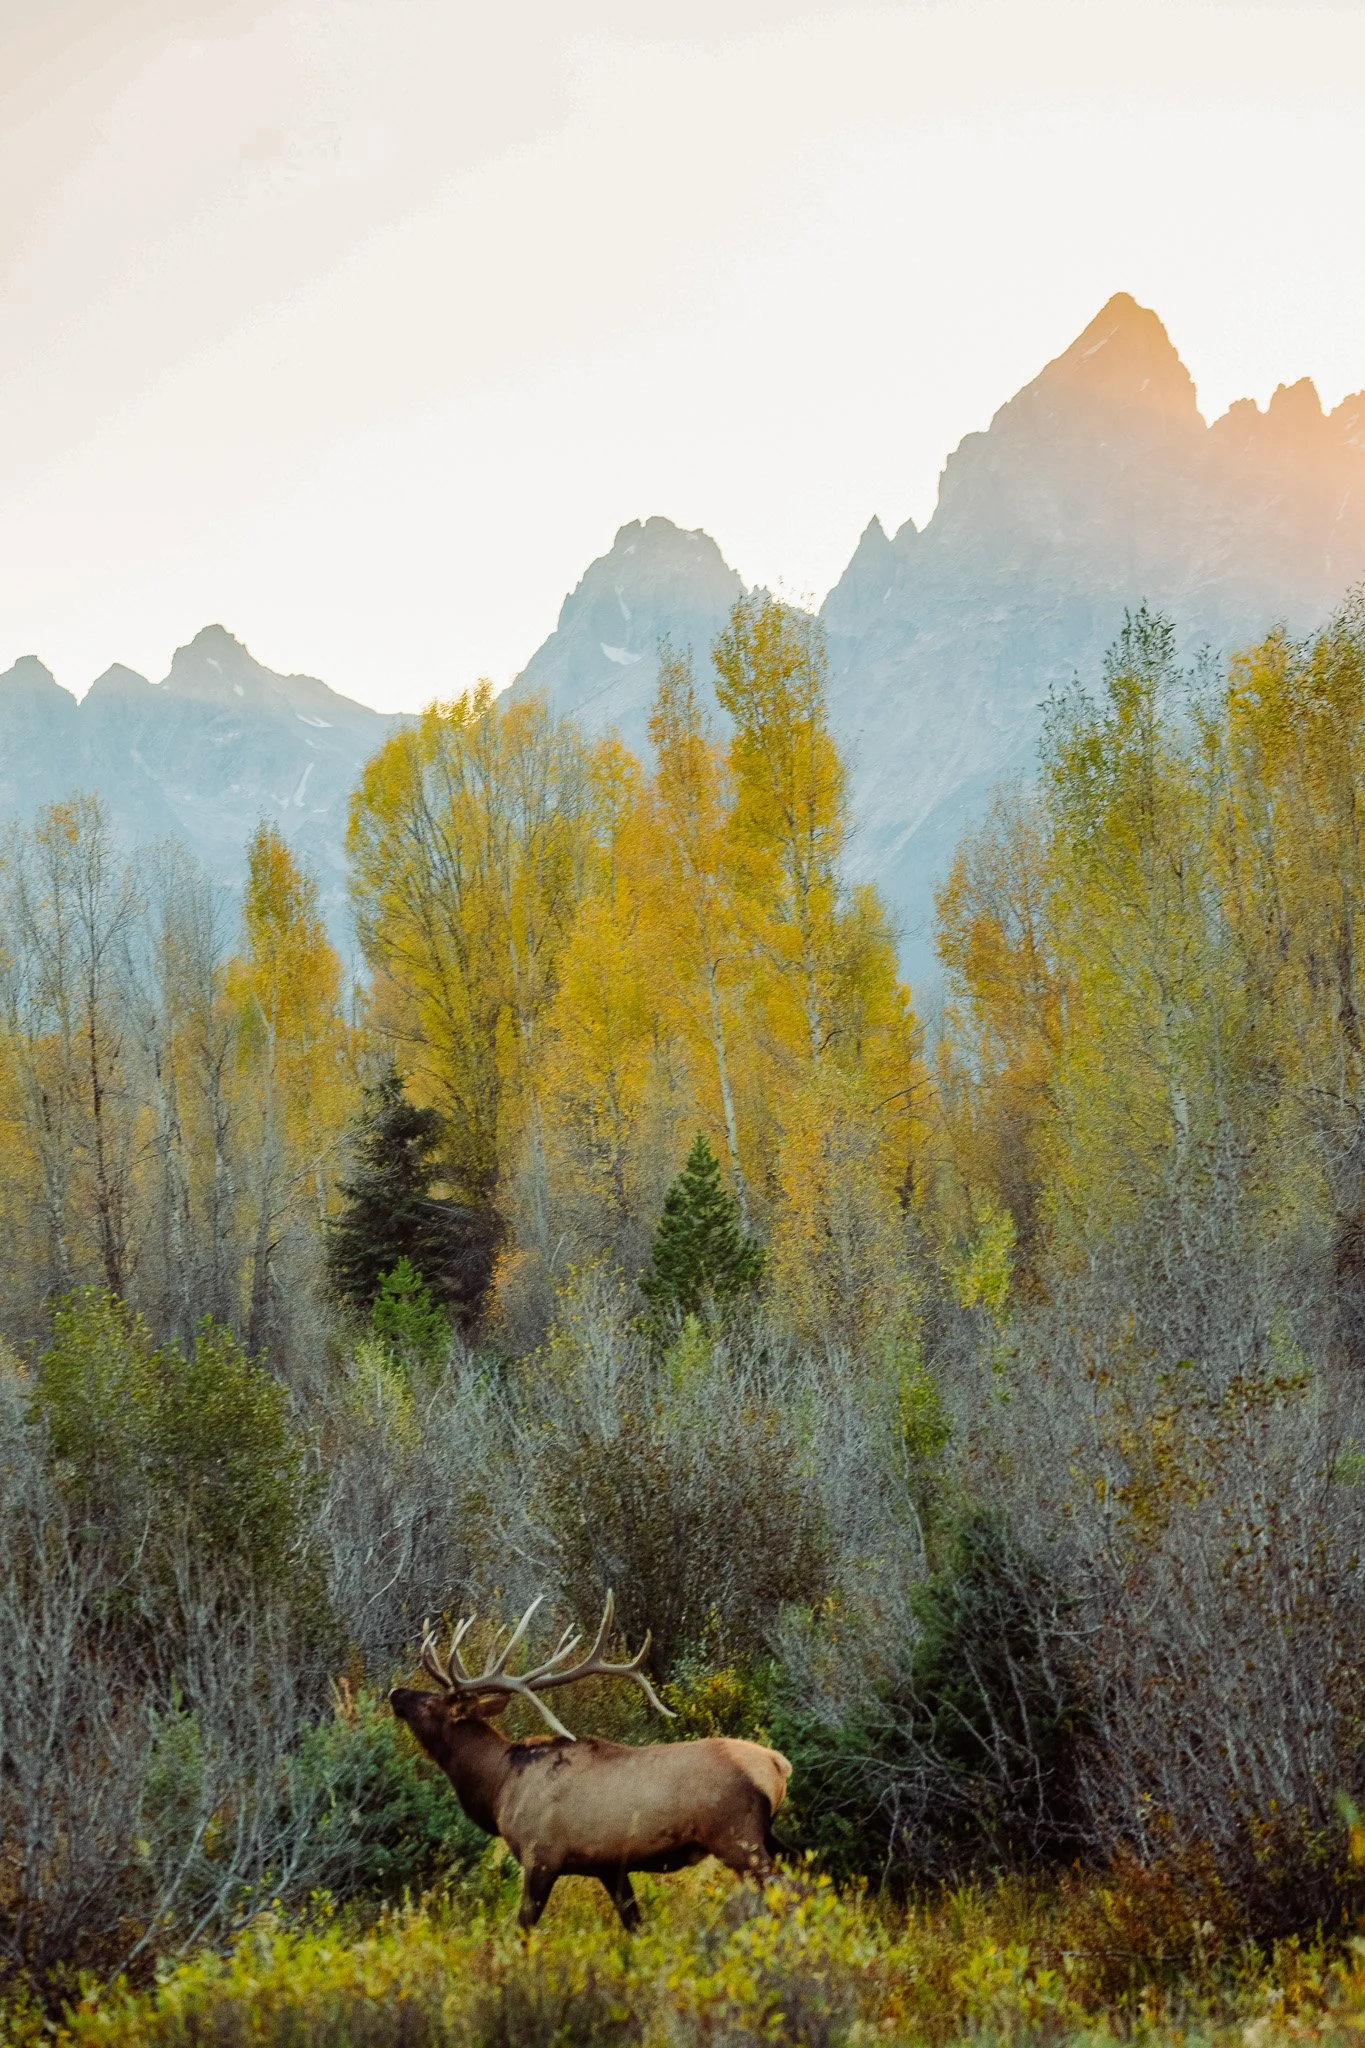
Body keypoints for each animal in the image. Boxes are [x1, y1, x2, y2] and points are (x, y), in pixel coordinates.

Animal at [389, 1591, 792, 1930]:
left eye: (432, 1703)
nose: (396, 1693)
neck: (499, 1788)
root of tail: (777, 1764)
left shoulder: (541, 1856)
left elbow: (523, 1928)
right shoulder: (609, 1866)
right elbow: (635, 1925)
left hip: (736, 1835)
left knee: (784, 1892)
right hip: (765, 1834)